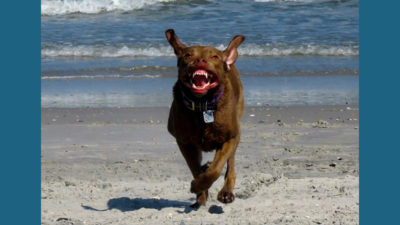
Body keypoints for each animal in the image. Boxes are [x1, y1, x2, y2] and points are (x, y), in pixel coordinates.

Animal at [165, 29, 245, 207]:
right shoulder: (185, 142)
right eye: (188, 55)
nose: (200, 60)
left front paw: (199, 184)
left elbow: (216, 168)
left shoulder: (229, 137)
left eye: (214, 56)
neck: (203, 104)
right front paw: (200, 193)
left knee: (230, 165)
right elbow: (194, 168)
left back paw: (227, 192)